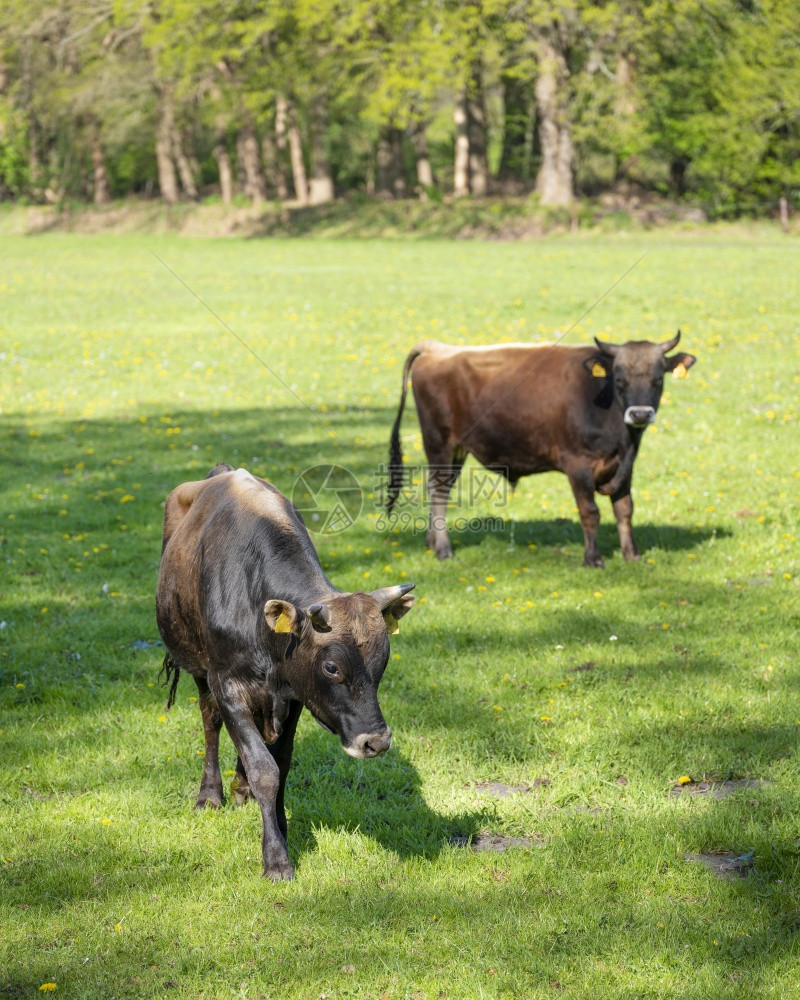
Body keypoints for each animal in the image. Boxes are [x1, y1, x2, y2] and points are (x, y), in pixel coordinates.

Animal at [159, 460, 416, 876]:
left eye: (384, 659)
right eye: (331, 666)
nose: (376, 742)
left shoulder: (294, 695)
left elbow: (279, 763)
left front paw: (279, 826)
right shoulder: (226, 685)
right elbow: (264, 768)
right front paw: (276, 858)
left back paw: (240, 788)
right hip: (197, 666)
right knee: (210, 723)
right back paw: (211, 795)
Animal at [386, 336, 692, 568]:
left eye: (657, 379)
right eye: (620, 379)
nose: (640, 413)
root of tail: (437, 348)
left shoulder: (624, 467)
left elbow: (625, 509)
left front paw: (632, 555)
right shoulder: (578, 465)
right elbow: (590, 512)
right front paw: (592, 558)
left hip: (457, 450)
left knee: (439, 488)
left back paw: (431, 542)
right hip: (439, 442)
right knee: (438, 491)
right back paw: (443, 549)